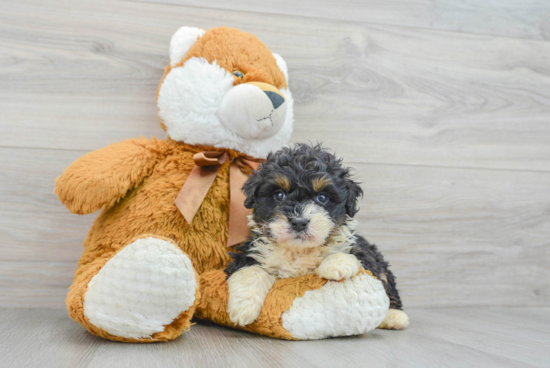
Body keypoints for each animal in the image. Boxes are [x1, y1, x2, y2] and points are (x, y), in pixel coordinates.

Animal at [224, 142, 410, 330]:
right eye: (279, 195)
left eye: (322, 197)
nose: (299, 222)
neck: (298, 250)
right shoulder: (249, 250)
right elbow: (251, 270)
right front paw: (243, 307)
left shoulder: (364, 253)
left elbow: (355, 256)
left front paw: (336, 264)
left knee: (387, 283)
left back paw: (394, 317)